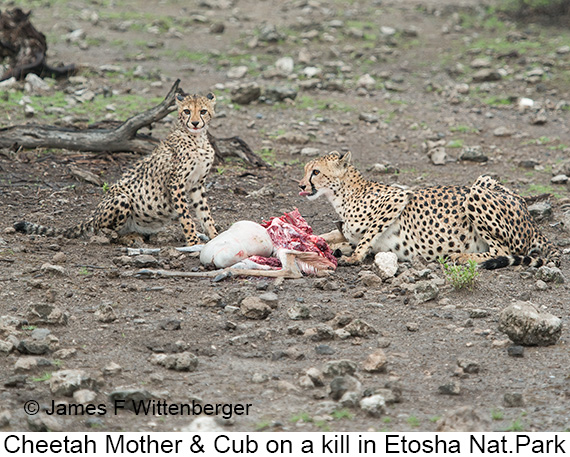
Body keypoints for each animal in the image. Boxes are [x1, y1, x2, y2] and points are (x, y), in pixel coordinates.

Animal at [13, 90, 217, 244]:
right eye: (187, 111)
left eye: (203, 111)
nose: (195, 123)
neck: (197, 139)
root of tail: (93, 215)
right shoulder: (176, 183)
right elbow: (186, 217)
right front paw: (193, 241)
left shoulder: (197, 184)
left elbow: (205, 213)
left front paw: (215, 236)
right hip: (122, 199)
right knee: (105, 231)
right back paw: (127, 237)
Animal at [300, 151, 556, 268]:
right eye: (305, 170)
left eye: (316, 172)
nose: (301, 185)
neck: (343, 195)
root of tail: (532, 222)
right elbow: (334, 236)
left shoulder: (398, 197)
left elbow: (367, 235)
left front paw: (354, 257)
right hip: (484, 180)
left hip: (475, 193)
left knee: (502, 251)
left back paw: (461, 256)